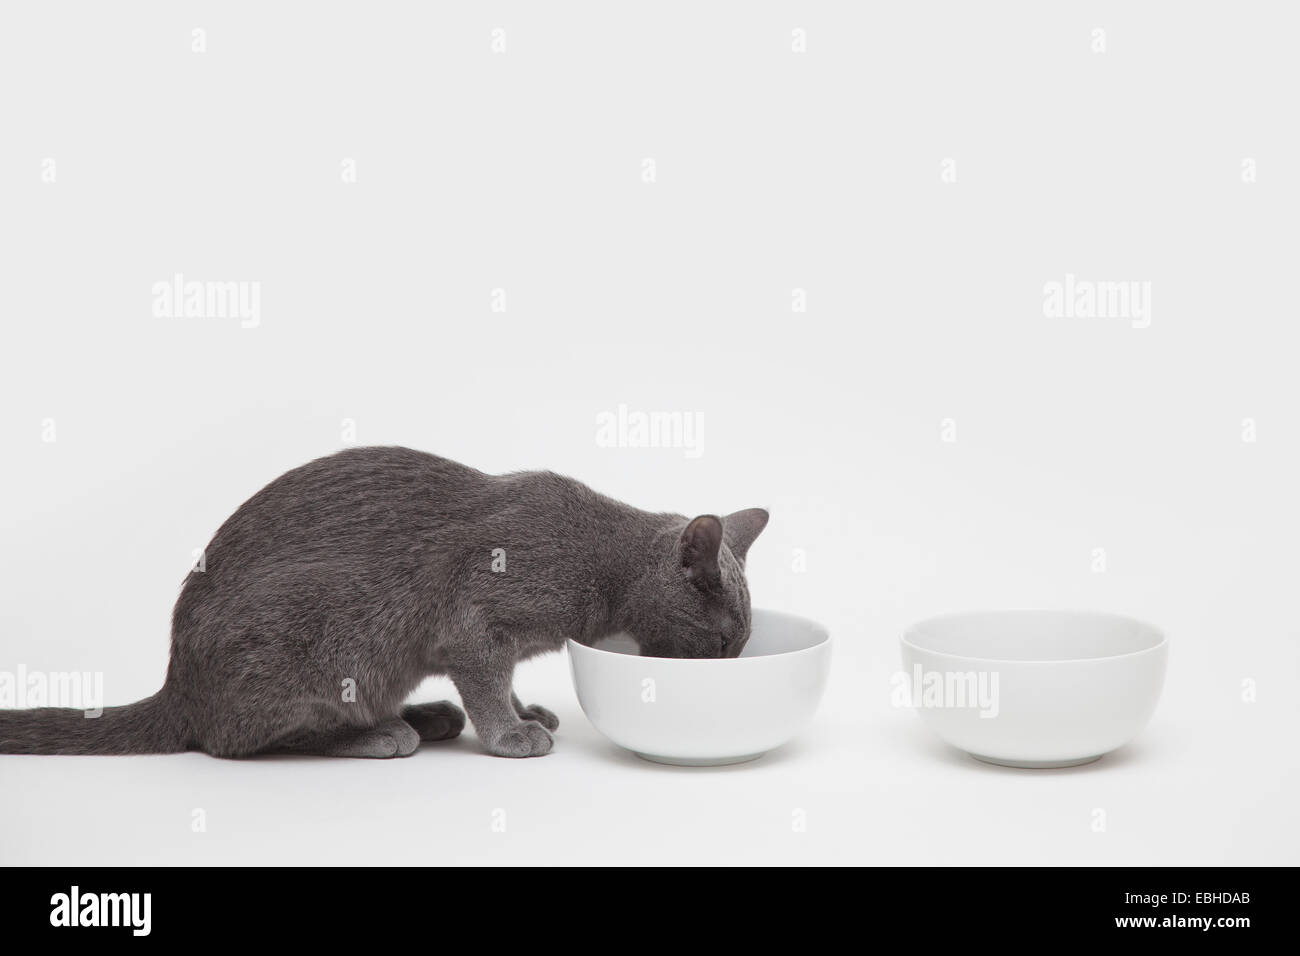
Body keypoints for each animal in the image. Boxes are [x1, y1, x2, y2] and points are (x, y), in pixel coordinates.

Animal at [0, 447, 764, 764]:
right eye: (726, 642)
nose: (735, 663)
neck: (603, 562)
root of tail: (176, 684)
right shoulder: (476, 619)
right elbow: (487, 680)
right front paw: (510, 732)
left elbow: (504, 681)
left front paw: (526, 711)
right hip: (329, 636)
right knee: (238, 740)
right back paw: (382, 733)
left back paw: (424, 715)